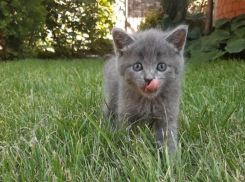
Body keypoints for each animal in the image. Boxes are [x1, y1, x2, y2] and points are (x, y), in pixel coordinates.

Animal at [103, 24, 188, 152]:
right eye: (137, 66)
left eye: (161, 66)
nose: (149, 79)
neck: (149, 101)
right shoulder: (126, 113)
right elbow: (126, 135)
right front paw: (126, 151)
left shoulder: (167, 115)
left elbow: (168, 138)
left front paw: (171, 157)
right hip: (112, 95)